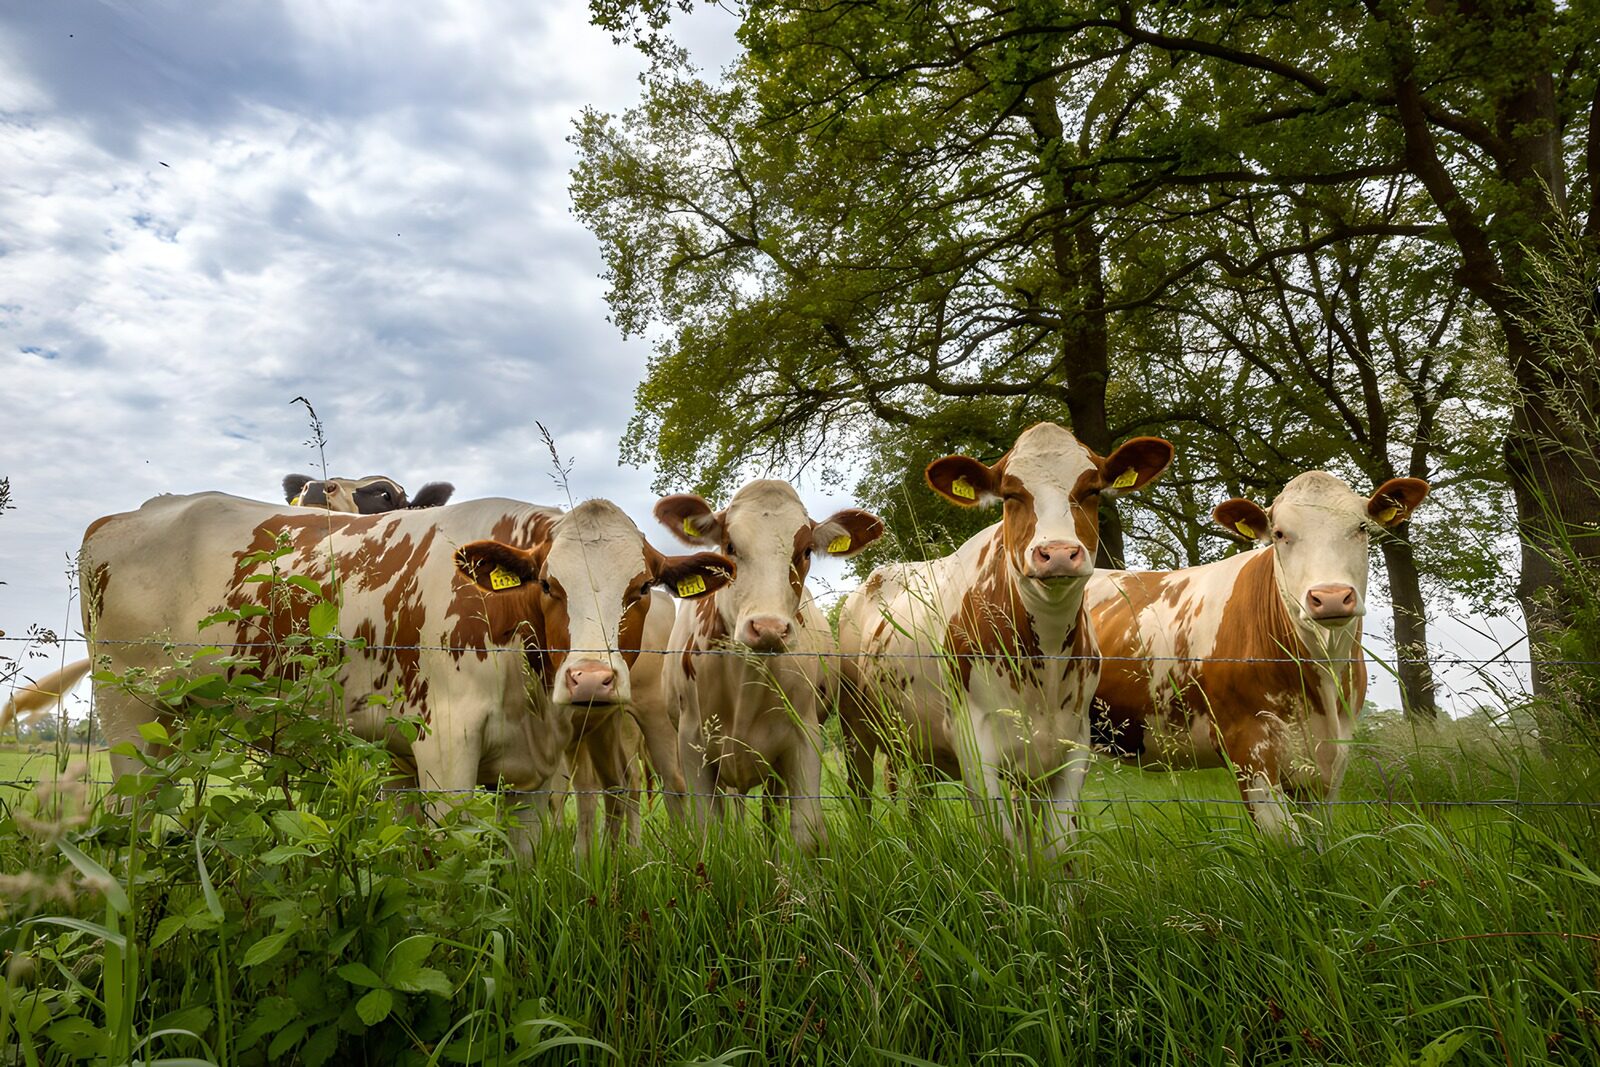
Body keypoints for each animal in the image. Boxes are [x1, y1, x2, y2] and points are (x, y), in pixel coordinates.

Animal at [78, 492, 731, 852]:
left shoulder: (534, 774)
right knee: (126, 821)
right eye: (549, 584)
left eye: (641, 587)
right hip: (129, 718)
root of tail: (119, 518)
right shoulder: (445, 748)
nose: (591, 680)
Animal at [654, 480, 885, 853]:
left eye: (806, 551)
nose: (768, 627)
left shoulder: (804, 739)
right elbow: (710, 833)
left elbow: (805, 832)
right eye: (730, 546)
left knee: (770, 813)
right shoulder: (692, 744)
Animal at [838, 423, 1173, 859]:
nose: (1058, 553)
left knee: (915, 796)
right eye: (1012, 494)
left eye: (1091, 490)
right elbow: (1008, 847)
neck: (1046, 660)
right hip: (855, 725)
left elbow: (1056, 845)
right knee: (860, 793)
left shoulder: (1071, 745)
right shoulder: (975, 746)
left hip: (915, 741)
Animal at [1086, 471, 1429, 836]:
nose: (1331, 597)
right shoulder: (1249, 748)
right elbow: (1286, 840)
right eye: (1279, 534)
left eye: (1362, 527)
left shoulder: (1332, 760)